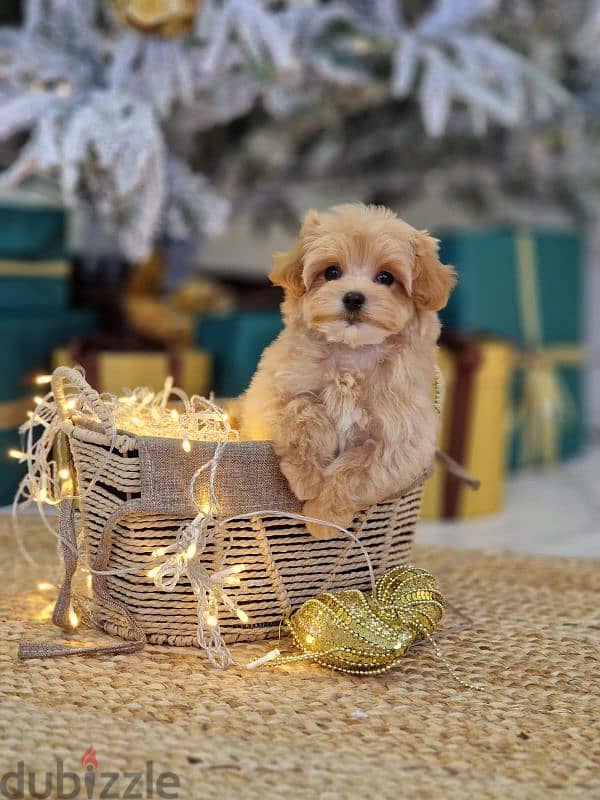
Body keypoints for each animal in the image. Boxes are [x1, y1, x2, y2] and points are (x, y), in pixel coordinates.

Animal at [239, 202, 454, 536]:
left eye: (385, 277)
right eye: (332, 272)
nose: (353, 297)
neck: (352, 352)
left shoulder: (400, 440)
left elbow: (358, 471)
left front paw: (323, 516)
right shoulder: (273, 393)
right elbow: (302, 412)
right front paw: (309, 480)